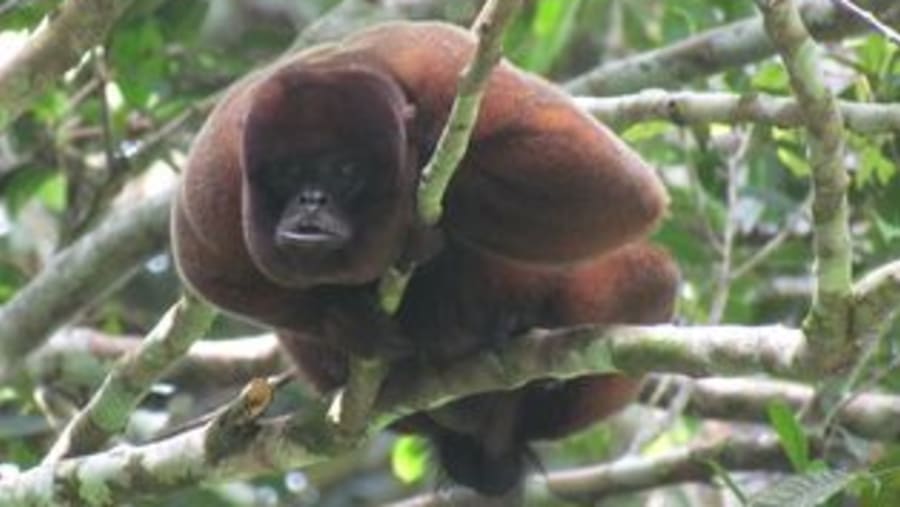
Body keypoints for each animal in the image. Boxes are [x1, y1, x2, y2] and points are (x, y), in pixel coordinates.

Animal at [172, 21, 676, 496]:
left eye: (344, 171)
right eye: (289, 172)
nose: (311, 199)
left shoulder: (445, 71)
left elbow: (620, 187)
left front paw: (420, 161)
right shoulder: (219, 164)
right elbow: (205, 265)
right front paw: (349, 320)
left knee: (652, 276)